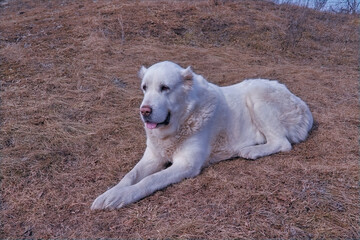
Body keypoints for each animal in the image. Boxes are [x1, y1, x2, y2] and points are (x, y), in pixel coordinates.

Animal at [90, 61, 312, 209]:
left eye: (165, 88)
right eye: (145, 88)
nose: (144, 110)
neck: (181, 121)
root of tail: (303, 105)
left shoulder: (186, 164)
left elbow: (149, 180)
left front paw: (123, 197)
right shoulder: (152, 156)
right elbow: (130, 175)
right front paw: (110, 194)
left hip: (256, 95)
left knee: (282, 143)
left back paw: (251, 151)